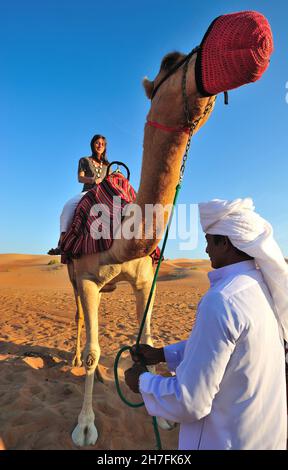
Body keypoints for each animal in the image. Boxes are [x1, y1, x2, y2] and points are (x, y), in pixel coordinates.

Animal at [66, 10, 274, 444]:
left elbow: (146, 338)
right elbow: (95, 352)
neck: (121, 236)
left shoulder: (145, 279)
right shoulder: (89, 277)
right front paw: (86, 425)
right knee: (77, 315)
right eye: (169, 61)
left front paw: (160, 417)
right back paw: (74, 357)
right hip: (72, 273)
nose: (255, 29)